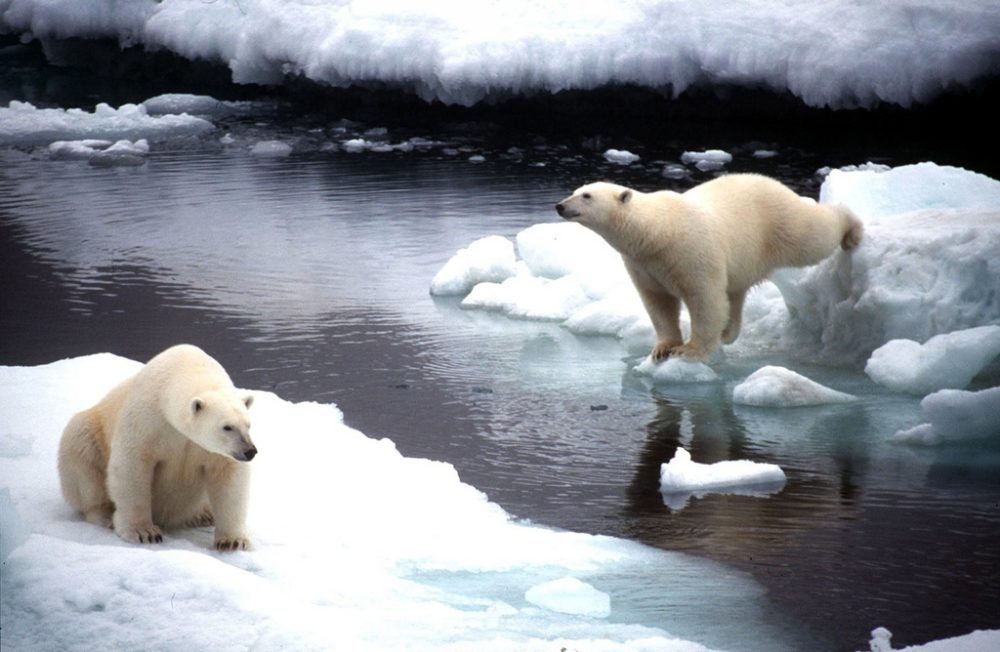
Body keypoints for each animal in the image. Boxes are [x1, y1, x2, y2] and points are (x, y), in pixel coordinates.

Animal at [57, 344, 258, 552]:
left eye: (248, 425)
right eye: (227, 427)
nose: (250, 451)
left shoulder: (213, 450)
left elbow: (229, 477)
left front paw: (233, 541)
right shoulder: (147, 420)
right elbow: (132, 466)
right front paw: (143, 532)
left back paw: (204, 515)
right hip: (89, 432)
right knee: (82, 458)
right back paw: (104, 515)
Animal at [552, 176, 864, 362]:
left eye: (587, 196)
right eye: (575, 191)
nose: (559, 206)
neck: (657, 231)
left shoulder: (690, 252)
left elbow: (705, 298)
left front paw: (689, 350)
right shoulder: (643, 263)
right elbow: (658, 302)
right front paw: (662, 348)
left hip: (778, 223)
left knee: (812, 236)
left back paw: (852, 229)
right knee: (735, 293)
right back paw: (728, 333)